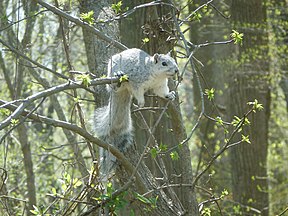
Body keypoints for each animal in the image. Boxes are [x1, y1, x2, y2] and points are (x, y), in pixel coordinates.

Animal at [94, 47, 178, 176]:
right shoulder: (136, 80)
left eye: (173, 60)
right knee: (114, 86)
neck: (156, 75)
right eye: (164, 63)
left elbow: (162, 92)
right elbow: (138, 92)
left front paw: (170, 95)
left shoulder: (160, 85)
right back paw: (118, 76)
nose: (176, 70)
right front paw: (142, 102)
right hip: (113, 75)